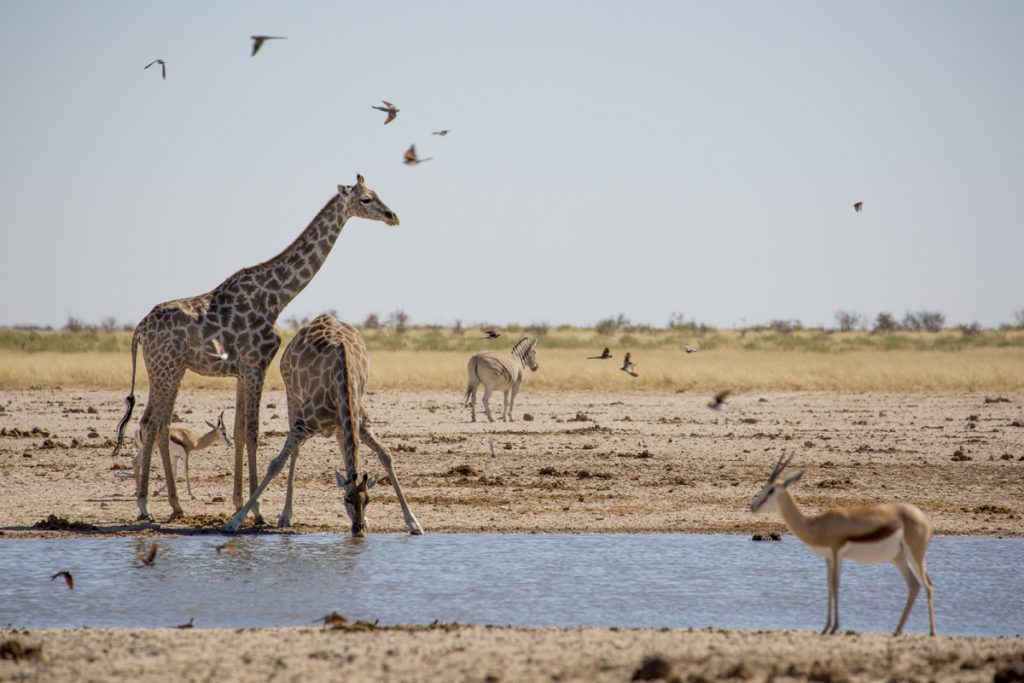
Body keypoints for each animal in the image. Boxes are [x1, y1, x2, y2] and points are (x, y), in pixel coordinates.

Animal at [113, 176, 399, 524]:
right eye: (367, 199)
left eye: (376, 194)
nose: (392, 216)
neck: (276, 297)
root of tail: (139, 329)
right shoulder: (257, 364)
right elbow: (252, 431)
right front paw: (258, 510)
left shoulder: (241, 371)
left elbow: (237, 430)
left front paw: (239, 503)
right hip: (165, 369)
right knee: (150, 424)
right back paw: (145, 507)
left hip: (172, 370)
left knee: (161, 424)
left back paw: (176, 505)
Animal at [225, 313, 423, 536]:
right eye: (347, 499)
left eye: (369, 500)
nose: (358, 529)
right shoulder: (303, 424)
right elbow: (276, 464)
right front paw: (234, 521)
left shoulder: (361, 424)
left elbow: (386, 455)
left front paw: (413, 522)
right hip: (292, 398)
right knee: (295, 453)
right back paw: (285, 515)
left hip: (339, 426)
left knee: (343, 450)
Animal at [749, 454, 933, 634]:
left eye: (771, 489)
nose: (752, 506)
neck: (816, 524)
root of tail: (923, 518)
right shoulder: (828, 557)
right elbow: (829, 584)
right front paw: (826, 627)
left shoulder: (836, 552)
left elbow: (836, 583)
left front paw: (834, 627)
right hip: (899, 557)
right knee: (915, 585)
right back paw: (897, 631)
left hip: (915, 555)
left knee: (927, 584)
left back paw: (930, 632)